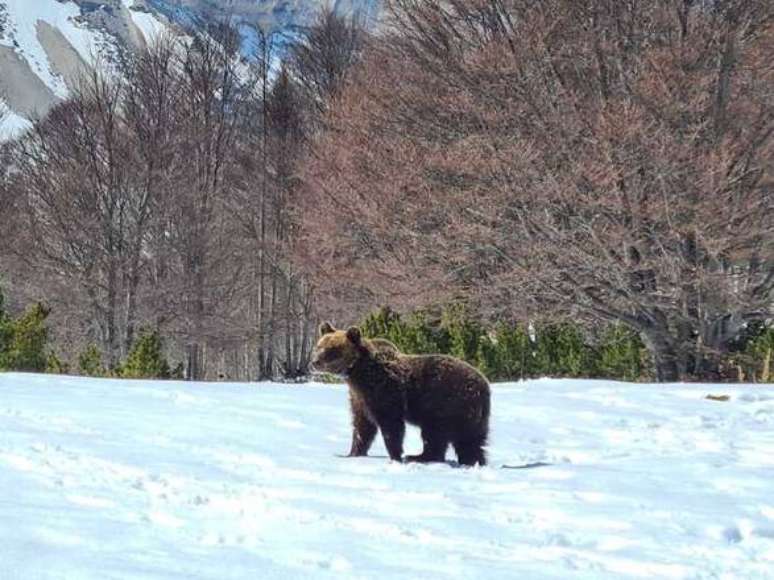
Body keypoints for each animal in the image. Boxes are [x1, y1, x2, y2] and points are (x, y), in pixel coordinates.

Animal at [310, 322, 488, 466]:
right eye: (319, 346)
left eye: (332, 349)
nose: (315, 362)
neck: (358, 373)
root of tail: (483, 386)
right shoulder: (358, 398)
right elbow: (362, 426)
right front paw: (352, 453)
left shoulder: (385, 392)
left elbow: (391, 425)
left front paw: (395, 456)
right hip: (469, 415)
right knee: (469, 440)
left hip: (446, 405)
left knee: (439, 435)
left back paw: (420, 456)